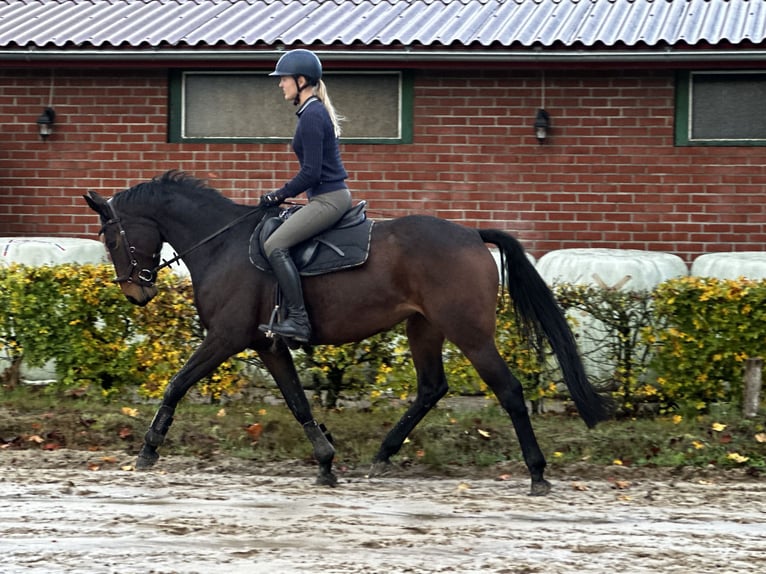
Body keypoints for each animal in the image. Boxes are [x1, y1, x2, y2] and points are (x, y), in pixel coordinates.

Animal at [84, 170, 609, 495]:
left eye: (111, 239)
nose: (135, 292)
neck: (222, 243)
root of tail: (470, 234)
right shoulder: (267, 345)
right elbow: (298, 402)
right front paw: (325, 461)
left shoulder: (226, 338)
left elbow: (177, 383)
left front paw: (148, 450)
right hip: (424, 327)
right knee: (431, 388)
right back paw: (381, 455)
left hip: (470, 333)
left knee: (509, 391)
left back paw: (537, 473)